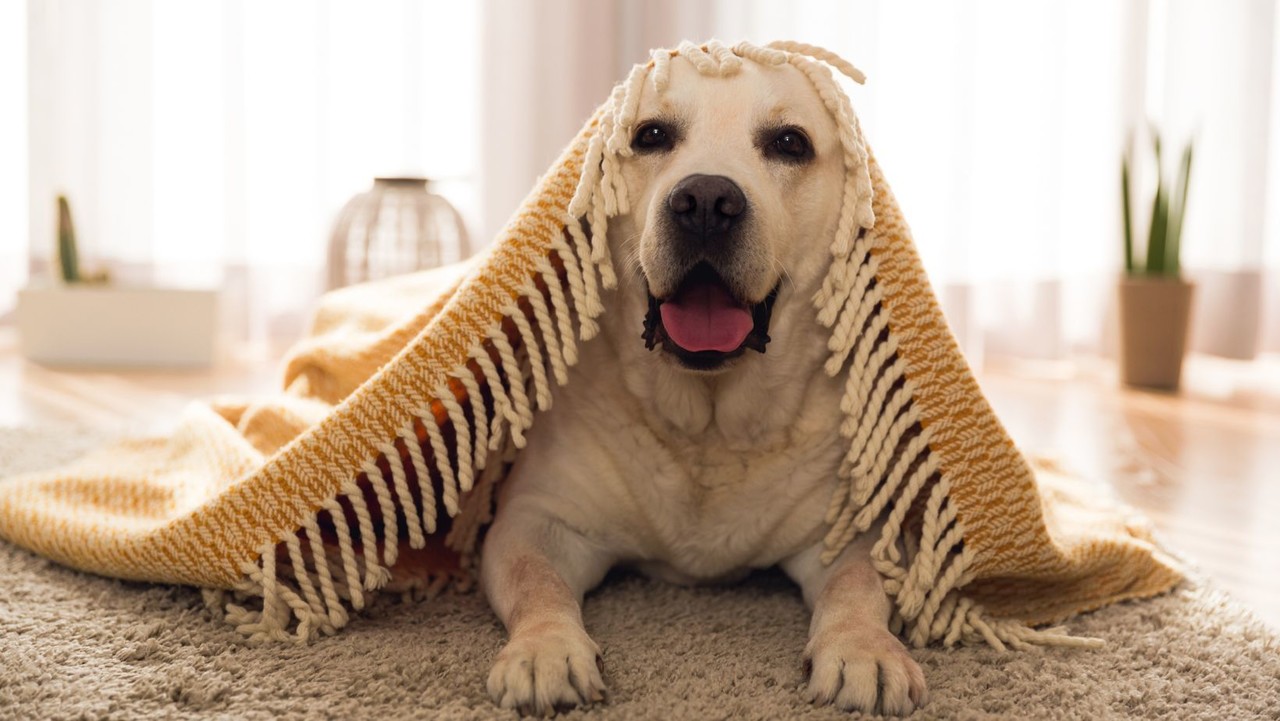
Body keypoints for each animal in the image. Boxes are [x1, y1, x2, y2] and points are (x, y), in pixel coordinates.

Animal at [476, 53, 926, 717]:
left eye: (789, 143)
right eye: (650, 136)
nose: (707, 201)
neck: (708, 427)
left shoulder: (852, 531)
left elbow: (858, 584)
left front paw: (864, 650)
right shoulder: (537, 520)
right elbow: (537, 583)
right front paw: (546, 650)